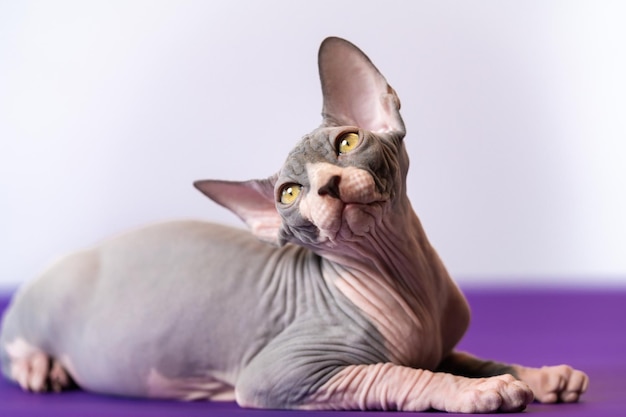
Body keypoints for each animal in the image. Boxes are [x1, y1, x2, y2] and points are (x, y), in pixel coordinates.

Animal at [0, 37, 584, 412]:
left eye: (347, 142)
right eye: (288, 193)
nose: (326, 184)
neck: (406, 285)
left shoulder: (442, 345)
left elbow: (474, 359)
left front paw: (539, 376)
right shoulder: (283, 375)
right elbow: (399, 373)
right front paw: (477, 393)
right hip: (39, 310)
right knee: (15, 345)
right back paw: (39, 369)